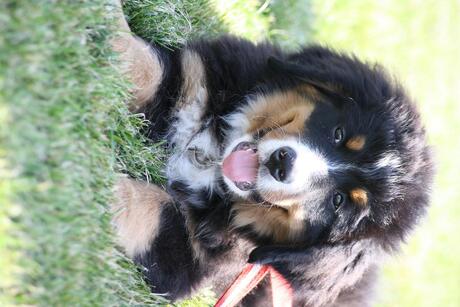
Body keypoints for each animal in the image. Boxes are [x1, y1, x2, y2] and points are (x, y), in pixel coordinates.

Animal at [109, 3, 434, 307]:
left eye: (337, 201)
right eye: (338, 134)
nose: (282, 163)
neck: (213, 160)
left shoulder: (193, 257)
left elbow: (151, 209)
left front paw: (103, 190)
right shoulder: (196, 77)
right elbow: (145, 65)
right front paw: (107, 21)